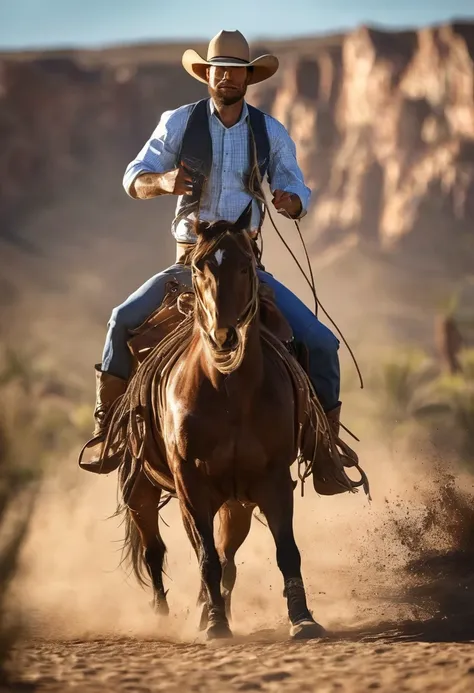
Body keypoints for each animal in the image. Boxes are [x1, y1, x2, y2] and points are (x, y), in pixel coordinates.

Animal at [112, 208, 340, 640]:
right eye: (200, 266)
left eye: (246, 265)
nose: (224, 336)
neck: (229, 391)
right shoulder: (190, 484)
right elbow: (205, 557)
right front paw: (216, 624)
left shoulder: (271, 479)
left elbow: (285, 551)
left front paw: (303, 618)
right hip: (141, 486)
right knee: (154, 550)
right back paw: (164, 616)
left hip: (236, 501)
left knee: (227, 554)